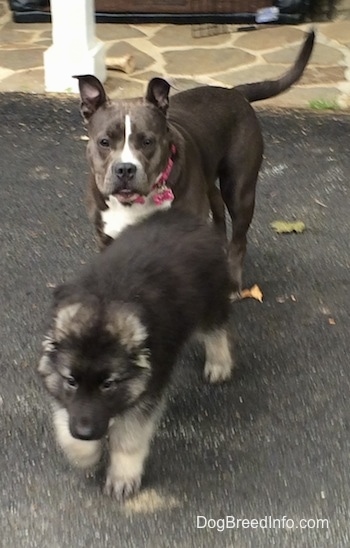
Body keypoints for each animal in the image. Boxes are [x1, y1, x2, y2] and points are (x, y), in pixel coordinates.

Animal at [74, 30, 314, 296]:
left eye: (147, 141)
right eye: (104, 142)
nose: (125, 169)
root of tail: (234, 92)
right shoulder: (107, 238)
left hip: (239, 189)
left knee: (238, 237)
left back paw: (232, 281)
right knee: (216, 203)